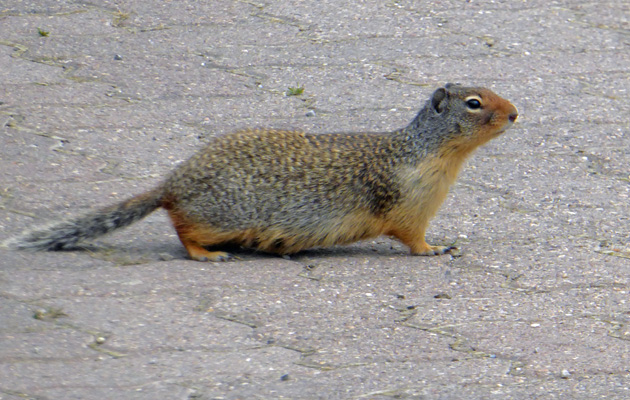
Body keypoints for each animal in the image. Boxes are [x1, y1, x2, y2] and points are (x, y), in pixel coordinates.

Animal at [3, 83, 520, 260]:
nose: (516, 113)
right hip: (218, 216)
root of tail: (171, 183)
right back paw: (208, 255)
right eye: (475, 104)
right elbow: (412, 238)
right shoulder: (409, 204)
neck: (429, 151)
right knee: (183, 230)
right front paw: (436, 250)